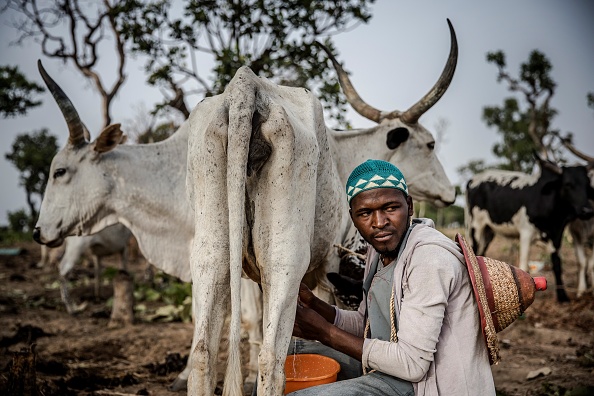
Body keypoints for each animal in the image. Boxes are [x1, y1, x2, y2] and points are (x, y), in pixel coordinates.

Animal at [185, 19, 458, 396]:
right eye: (430, 144)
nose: (452, 192)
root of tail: (247, 85)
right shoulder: (333, 265)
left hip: (212, 254)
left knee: (203, 354)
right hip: (284, 259)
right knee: (271, 360)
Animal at [464, 153, 588, 302]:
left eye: (588, 185)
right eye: (568, 184)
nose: (588, 210)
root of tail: (473, 179)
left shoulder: (557, 234)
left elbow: (557, 264)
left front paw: (562, 296)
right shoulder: (526, 233)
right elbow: (523, 264)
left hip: (488, 232)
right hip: (476, 227)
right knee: (475, 249)